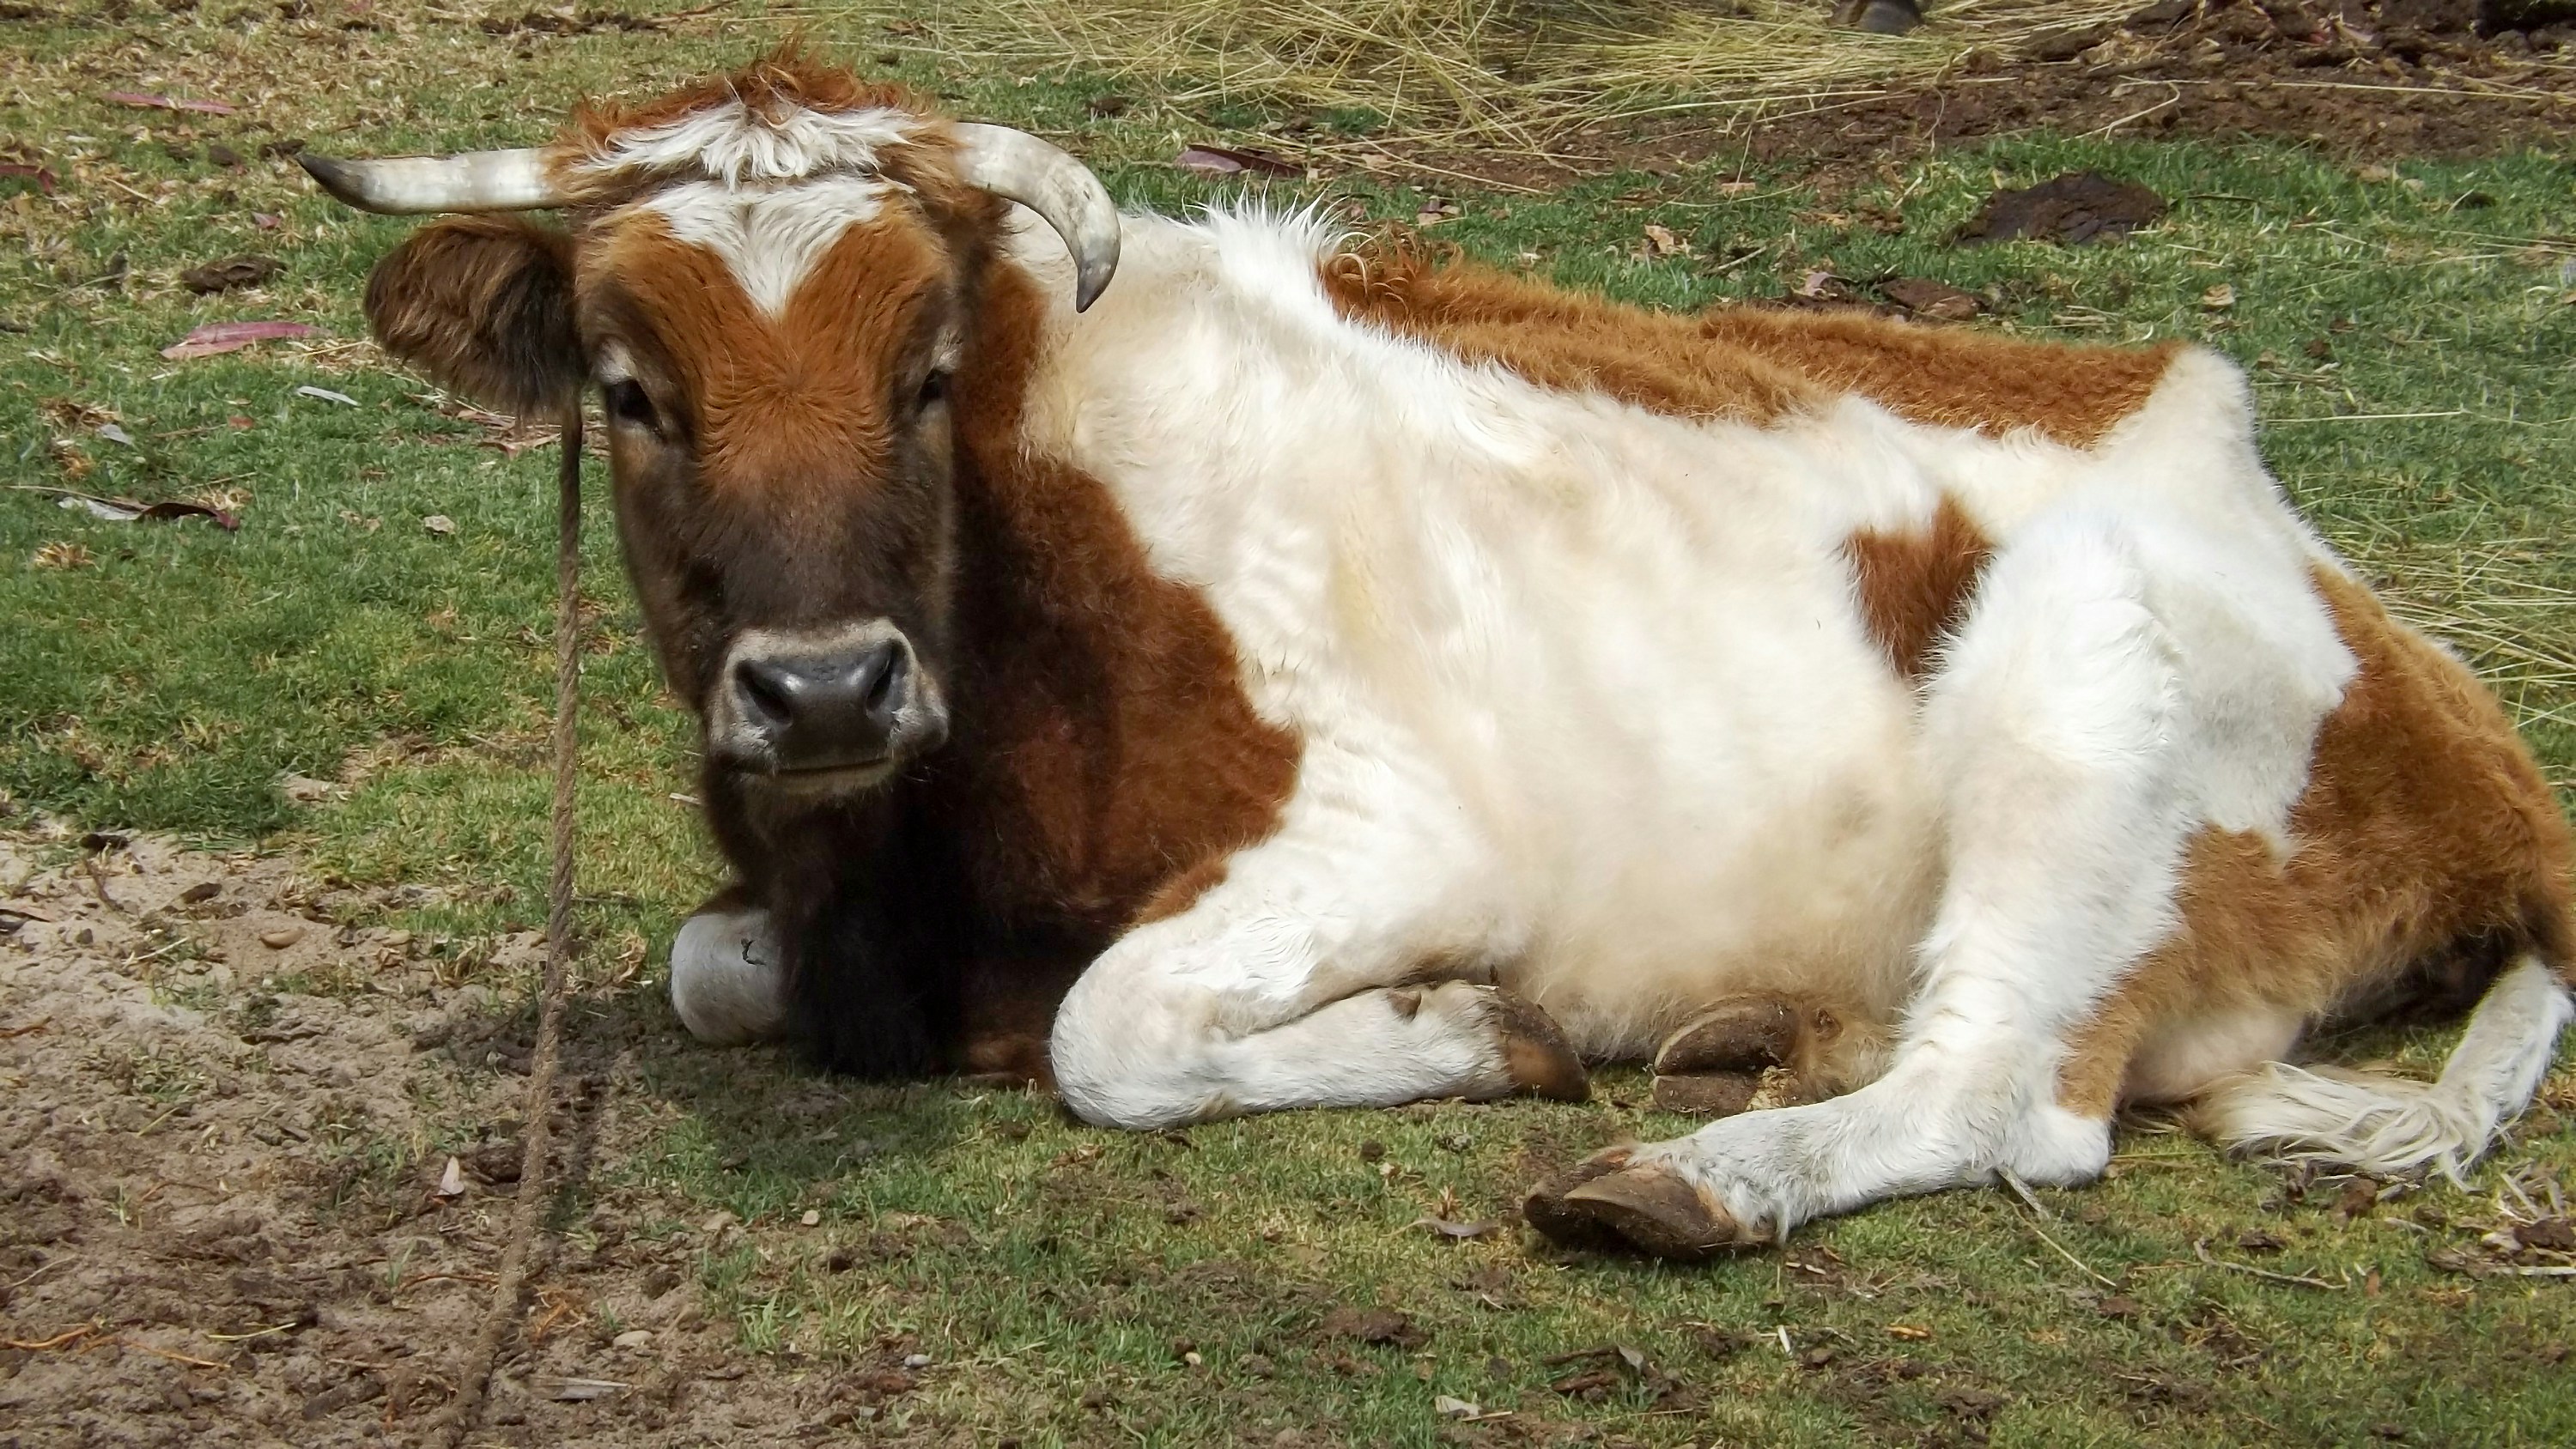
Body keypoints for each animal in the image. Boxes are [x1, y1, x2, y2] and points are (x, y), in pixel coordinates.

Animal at [304, 54, 2574, 1258]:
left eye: (921, 373)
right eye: (630, 393)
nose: (824, 686)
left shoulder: (1401, 836)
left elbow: (1110, 1034)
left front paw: (1468, 1030)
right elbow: (705, 974)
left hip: (2081, 668)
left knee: (2008, 1094)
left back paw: (1686, 1173)